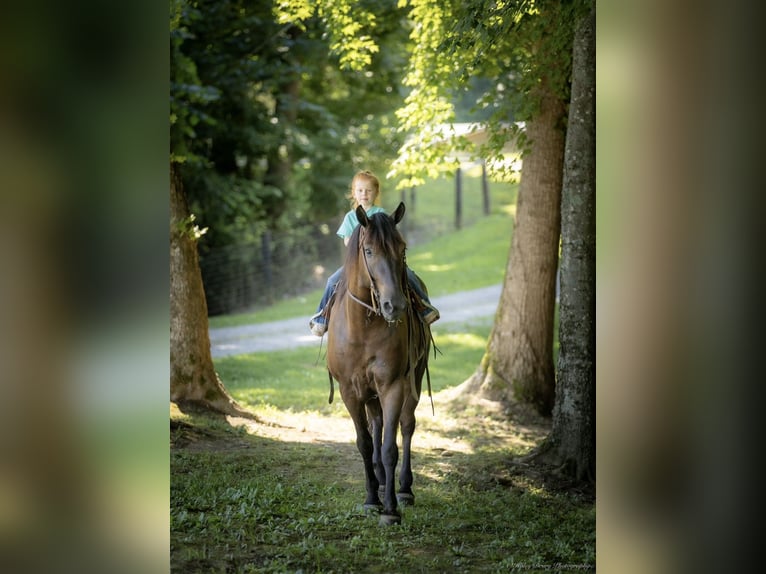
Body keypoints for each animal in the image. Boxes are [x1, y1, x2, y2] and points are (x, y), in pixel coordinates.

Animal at [326, 201, 432, 528]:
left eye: (402, 247)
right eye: (369, 251)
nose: (393, 305)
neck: (362, 328)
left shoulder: (393, 386)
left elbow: (389, 447)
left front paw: (390, 509)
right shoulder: (349, 391)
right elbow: (365, 443)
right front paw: (372, 499)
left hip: (415, 378)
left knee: (406, 425)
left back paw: (404, 488)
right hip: (368, 394)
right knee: (377, 424)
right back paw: (383, 483)